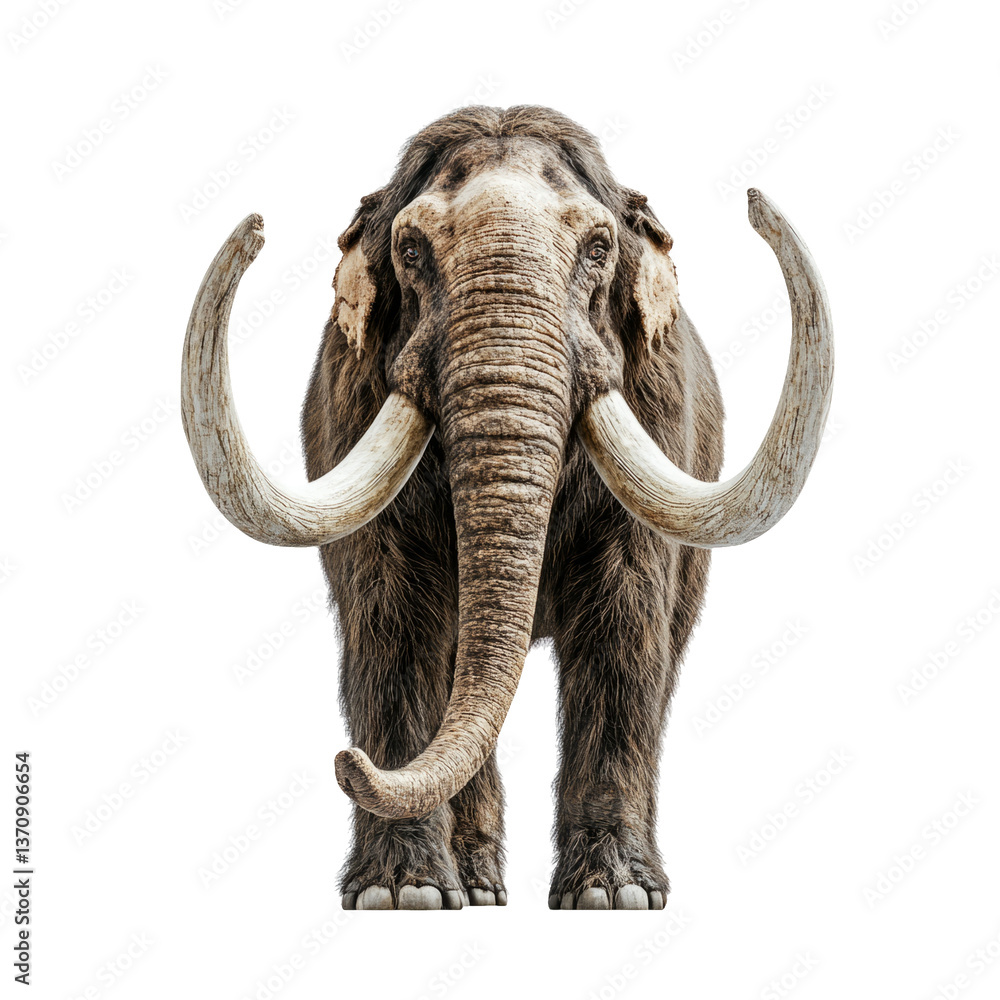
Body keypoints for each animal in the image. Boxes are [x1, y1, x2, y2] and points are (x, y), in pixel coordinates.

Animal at [181, 105, 832, 910]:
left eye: (598, 247)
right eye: (411, 249)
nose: (347, 761)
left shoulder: (659, 409)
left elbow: (624, 619)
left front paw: (611, 897)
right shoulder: (349, 405)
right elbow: (393, 615)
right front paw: (403, 896)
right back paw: (478, 888)